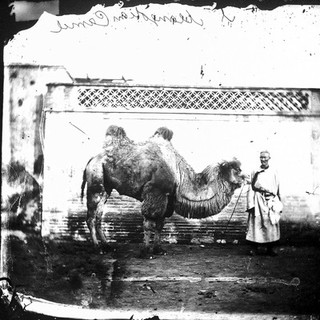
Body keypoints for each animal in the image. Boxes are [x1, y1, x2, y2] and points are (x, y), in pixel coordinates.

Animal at [80, 125, 245, 258]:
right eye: (237, 170)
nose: (245, 178)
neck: (179, 174)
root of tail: (92, 159)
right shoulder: (155, 192)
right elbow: (149, 222)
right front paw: (145, 252)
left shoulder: (167, 198)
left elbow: (160, 224)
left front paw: (158, 249)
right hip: (96, 181)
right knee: (91, 217)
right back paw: (97, 248)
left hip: (106, 188)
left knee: (99, 216)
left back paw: (107, 246)